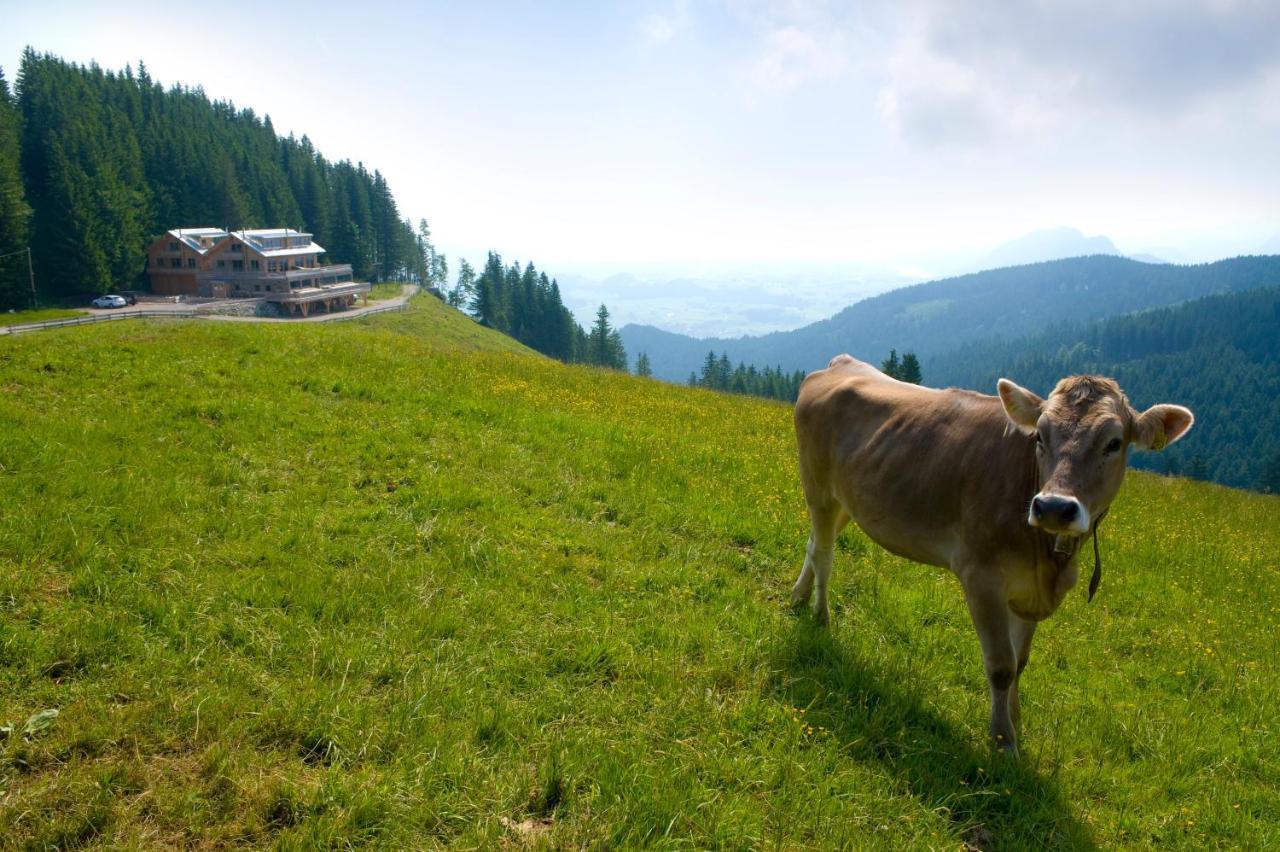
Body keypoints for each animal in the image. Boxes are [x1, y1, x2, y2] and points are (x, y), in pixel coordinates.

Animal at [793, 350, 1192, 752]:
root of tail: (842, 363)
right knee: (824, 553)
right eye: (1040, 436)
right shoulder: (980, 577)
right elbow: (1002, 666)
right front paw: (1003, 741)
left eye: (1113, 443)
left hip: (848, 498)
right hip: (818, 487)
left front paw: (1016, 721)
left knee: (813, 544)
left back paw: (798, 598)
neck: (1048, 562)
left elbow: (1021, 661)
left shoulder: (1029, 589)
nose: (1053, 507)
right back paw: (820, 616)